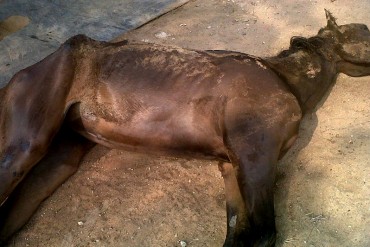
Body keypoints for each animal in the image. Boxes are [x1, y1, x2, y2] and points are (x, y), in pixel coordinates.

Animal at [0, 10, 370, 247]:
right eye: (363, 33)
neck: (286, 81)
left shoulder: (231, 166)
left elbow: (238, 234)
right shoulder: (256, 159)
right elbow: (263, 235)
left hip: (59, 157)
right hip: (29, 142)